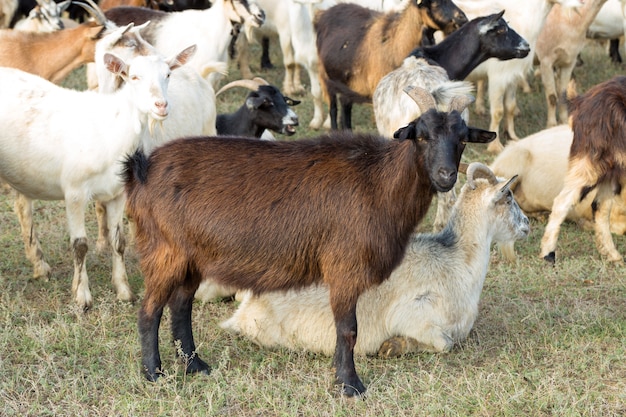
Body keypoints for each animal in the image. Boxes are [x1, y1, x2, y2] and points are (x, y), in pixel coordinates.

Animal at [219, 162, 528, 354]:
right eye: (509, 197)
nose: (526, 224)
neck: (455, 262)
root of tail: (245, 309)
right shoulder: (414, 314)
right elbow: (445, 343)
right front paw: (393, 346)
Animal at [314, 0, 466, 130]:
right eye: (435, 3)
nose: (462, 18)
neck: (396, 42)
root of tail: (326, 12)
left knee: (345, 106)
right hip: (326, 77)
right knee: (333, 108)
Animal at [540, 75, 626, 264]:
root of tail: (581, 101)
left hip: (611, 168)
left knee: (600, 207)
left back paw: (613, 256)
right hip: (589, 162)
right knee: (562, 201)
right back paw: (548, 254)